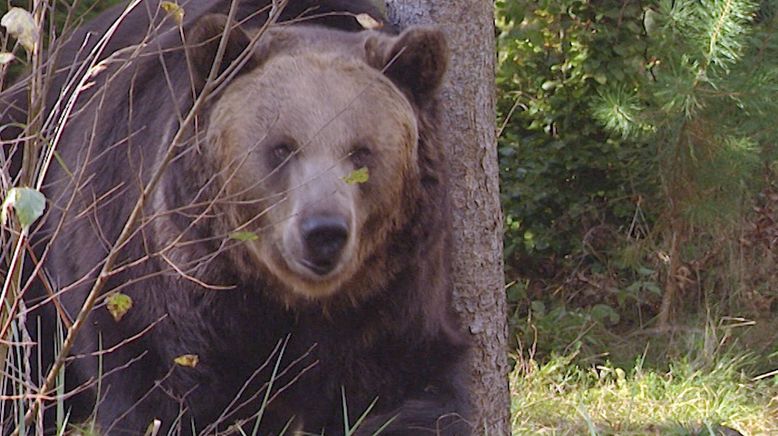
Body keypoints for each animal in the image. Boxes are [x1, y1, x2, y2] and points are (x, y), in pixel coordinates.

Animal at [0, 1, 470, 434]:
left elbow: (408, 393)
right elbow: (167, 400)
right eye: (281, 147)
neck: (283, 303)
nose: (323, 232)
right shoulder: (168, 289)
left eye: (361, 151)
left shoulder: (390, 298)